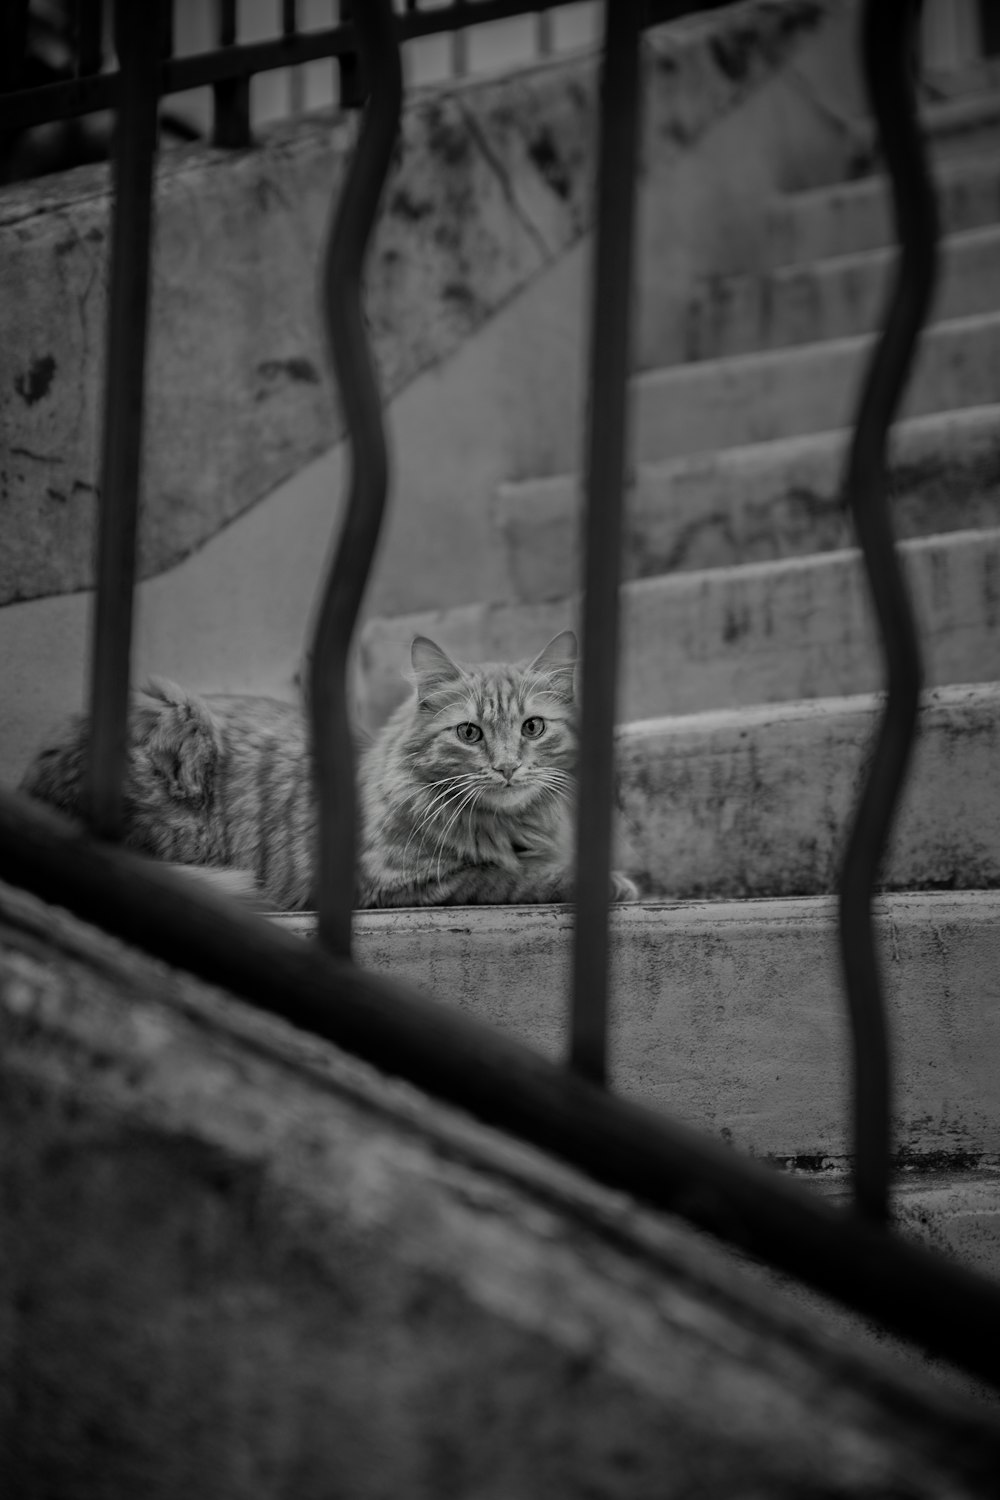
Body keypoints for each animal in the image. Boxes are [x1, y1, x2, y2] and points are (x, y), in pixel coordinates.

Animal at [21, 627, 641, 906]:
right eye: (470, 733)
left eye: (533, 728)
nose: (509, 768)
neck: (507, 823)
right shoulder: (396, 882)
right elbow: (508, 876)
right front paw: (605, 881)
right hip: (178, 720)